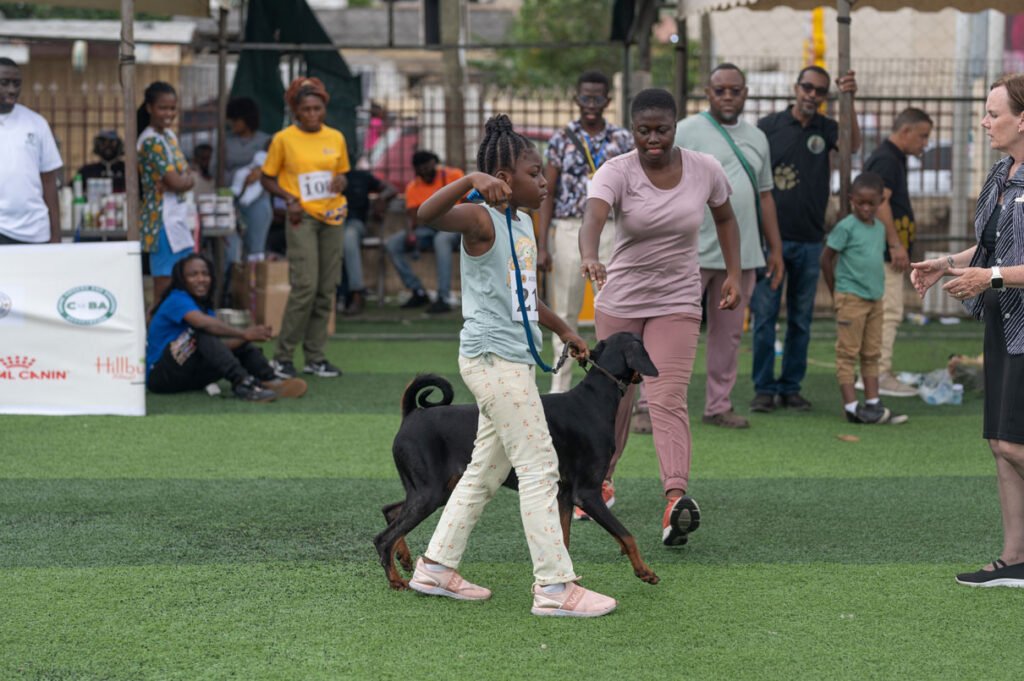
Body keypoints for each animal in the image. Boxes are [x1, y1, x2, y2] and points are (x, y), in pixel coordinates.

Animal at [378, 329, 663, 589]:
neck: (595, 399)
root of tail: (411, 413)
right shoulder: (587, 493)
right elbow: (627, 535)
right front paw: (645, 571)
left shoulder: (563, 495)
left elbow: (563, 540)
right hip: (430, 492)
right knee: (383, 538)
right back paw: (396, 580)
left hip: (433, 490)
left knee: (391, 511)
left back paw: (404, 558)